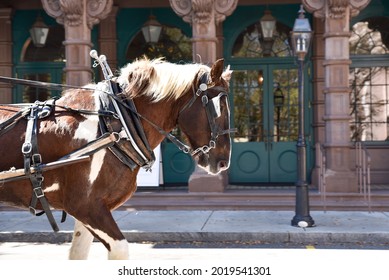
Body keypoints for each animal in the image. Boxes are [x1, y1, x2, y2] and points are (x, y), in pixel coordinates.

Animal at [0, 57, 232, 260]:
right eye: (219, 106)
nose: (224, 161)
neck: (116, 123)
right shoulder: (85, 206)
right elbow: (120, 250)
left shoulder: (90, 210)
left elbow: (78, 254)